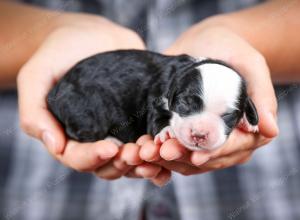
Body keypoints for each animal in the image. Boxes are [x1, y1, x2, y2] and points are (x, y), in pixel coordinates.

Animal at [47, 49, 258, 151]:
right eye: (184, 104)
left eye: (228, 116)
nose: (199, 135)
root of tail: (54, 91)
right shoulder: (158, 96)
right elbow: (157, 117)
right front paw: (166, 132)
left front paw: (249, 122)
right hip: (87, 113)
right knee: (76, 131)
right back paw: (111, 140)